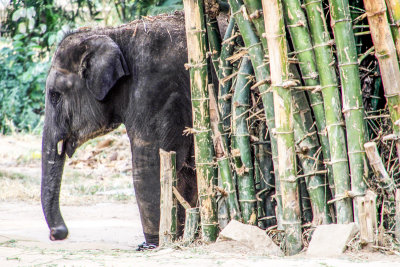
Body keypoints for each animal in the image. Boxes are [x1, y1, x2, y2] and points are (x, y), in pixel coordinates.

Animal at [40, 12, 205, 247]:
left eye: (55, 95)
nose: (57, 234)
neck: (114, 33)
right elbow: (186, 168)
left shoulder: (157, 90)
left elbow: (149, 164)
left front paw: (152, 245)